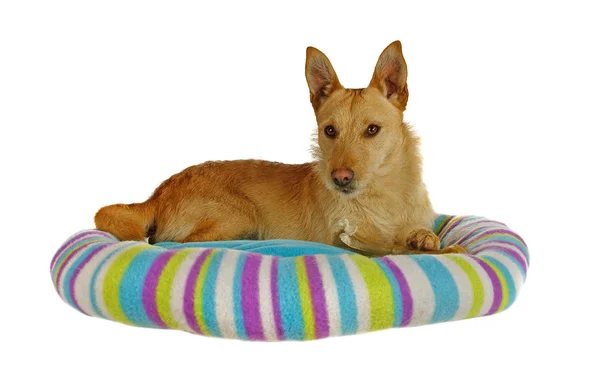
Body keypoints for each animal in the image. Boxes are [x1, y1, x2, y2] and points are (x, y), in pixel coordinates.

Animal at [96, 40, 466, 256]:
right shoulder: (343, 239)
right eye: (329, 131)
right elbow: (384, 245)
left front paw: (424, 239)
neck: (382, 192)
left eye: (372, 130)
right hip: (239, 213)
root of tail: (157, 194)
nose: (341, 178)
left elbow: (421, 234)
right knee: (172, 242)